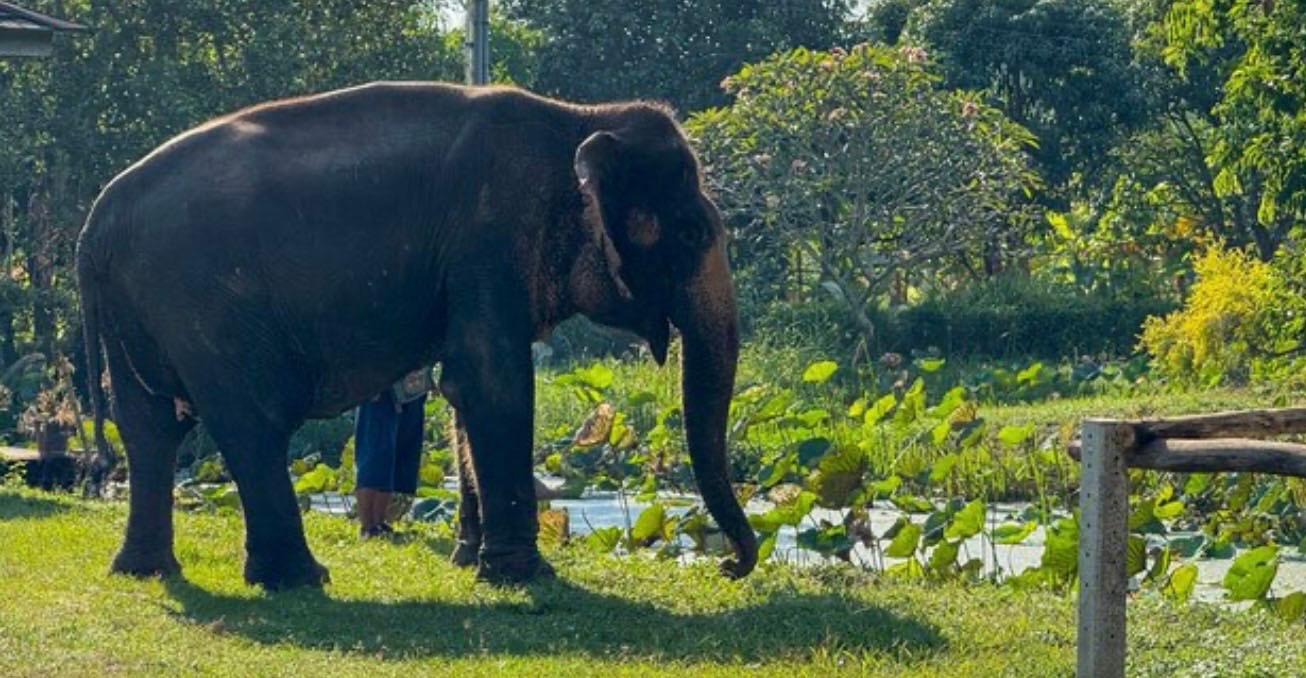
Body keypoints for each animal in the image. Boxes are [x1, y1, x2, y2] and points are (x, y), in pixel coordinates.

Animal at [75, 81, 758, 589]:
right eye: (693, 234)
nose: (727, 566)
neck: (581, 117)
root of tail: (96, 221)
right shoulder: (489, 238)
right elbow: (492, 380)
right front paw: (523, 577)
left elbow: (462, 392)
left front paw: (470, 559)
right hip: (201, 301)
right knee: (250, 423)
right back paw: (300, 579)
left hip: (137, 308)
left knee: (150, 427)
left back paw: (146, 571)